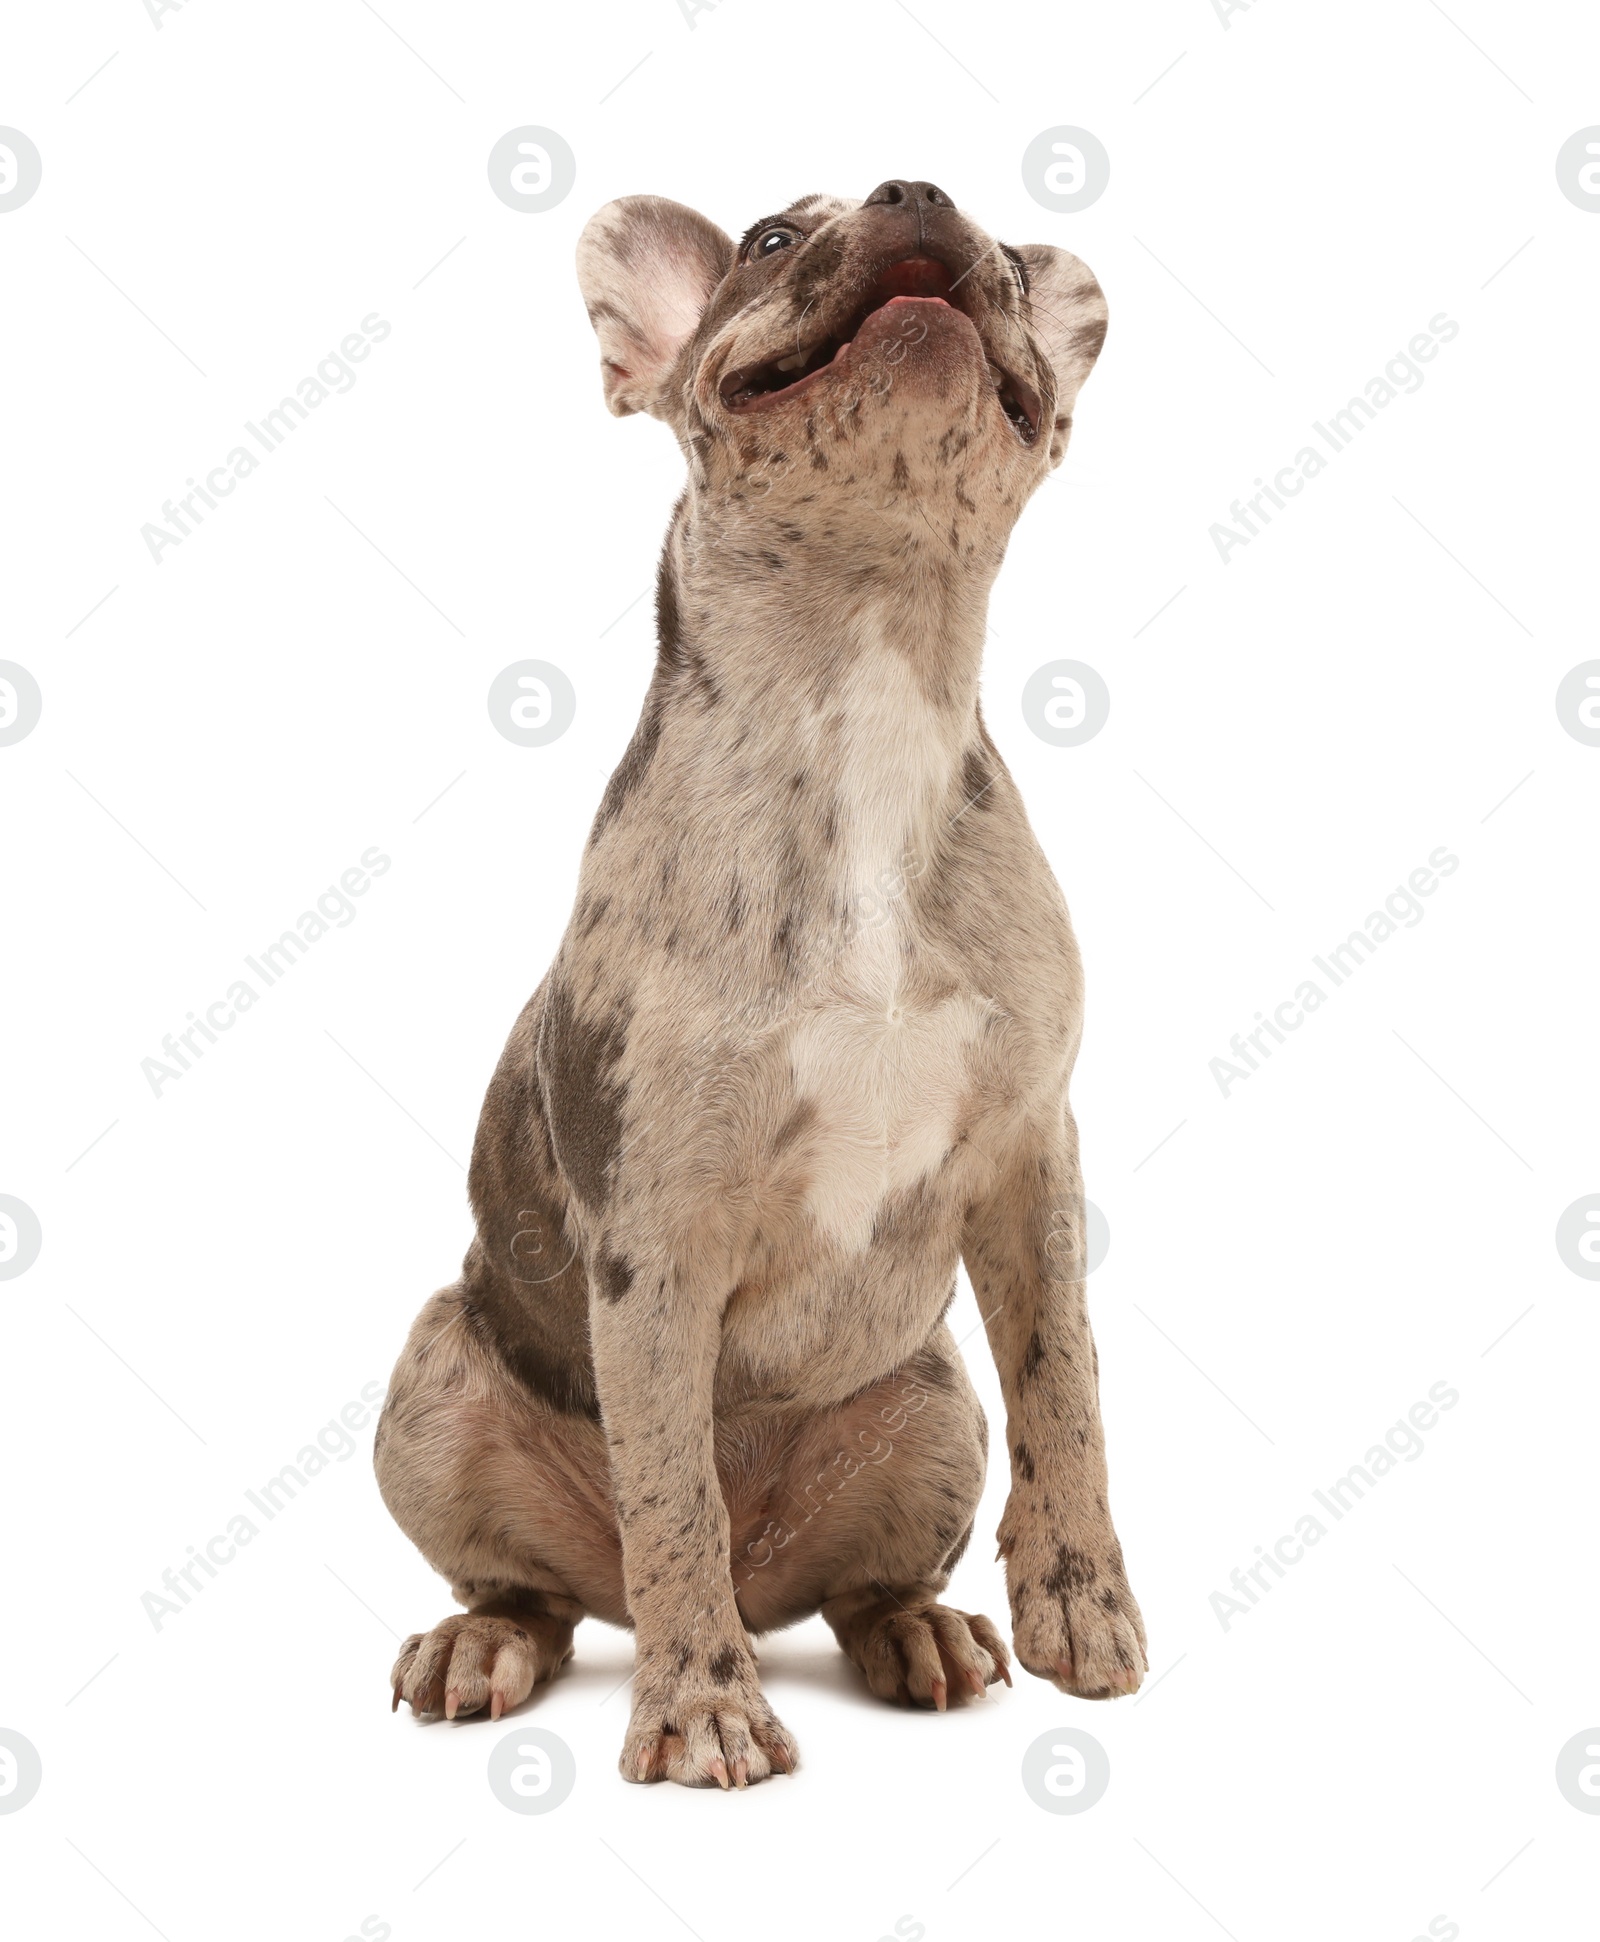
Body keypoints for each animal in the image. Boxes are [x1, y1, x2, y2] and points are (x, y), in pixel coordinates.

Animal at [372, 174, 1149, 1778]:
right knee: (553, 1584)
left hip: (933, 1406)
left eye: (1001, 248)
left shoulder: (1030, 1166)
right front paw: (703, 1705)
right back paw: (498, 1640)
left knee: (861, 1581)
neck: (860, 688)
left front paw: (1080, 1600)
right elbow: (673, 1485)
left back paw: (920, 1630)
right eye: (773, 242)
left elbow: (1070, 1386)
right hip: (433, 1381)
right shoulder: (655, 1237)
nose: (923, 193)